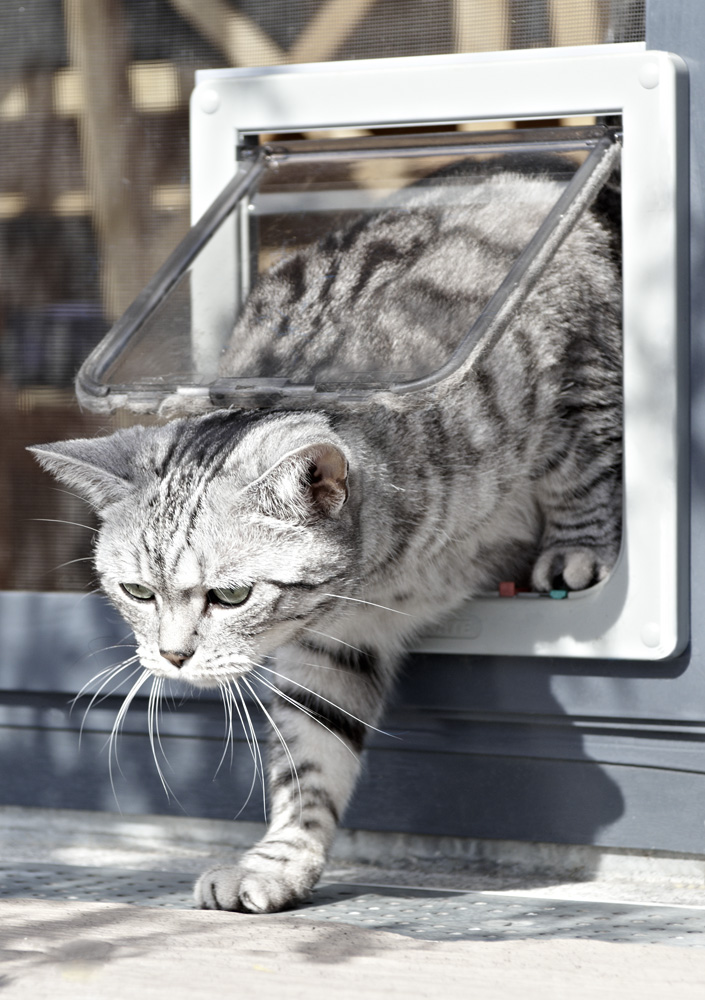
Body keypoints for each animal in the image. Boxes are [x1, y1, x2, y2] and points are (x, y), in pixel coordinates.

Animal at [30, 166, 620, 916]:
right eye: (136, 591)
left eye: (230, 596)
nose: (172, 657)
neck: (392, 572)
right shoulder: (334, 644)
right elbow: (311, 760)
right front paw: (278, 861)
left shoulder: (572, 361)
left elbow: (583, 465)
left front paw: (578, 548)